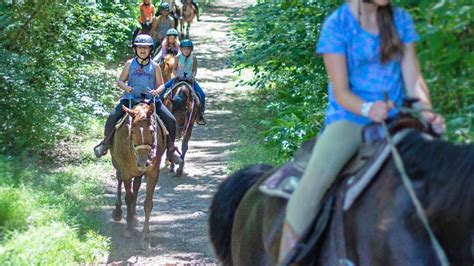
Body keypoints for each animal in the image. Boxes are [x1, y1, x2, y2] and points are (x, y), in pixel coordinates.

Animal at [109, 102, 167, 249]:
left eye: (152, 131)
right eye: (133, 131)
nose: (143, 162)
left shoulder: (152, 173)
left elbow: (148, 203)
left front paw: (145, 237)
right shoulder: (126, 172)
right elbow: (128, 198)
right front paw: (128, 229)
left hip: (139, 173)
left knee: (136, 186)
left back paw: (134, 216)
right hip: (117, 164)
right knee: (119, 179)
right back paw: (118, 212)